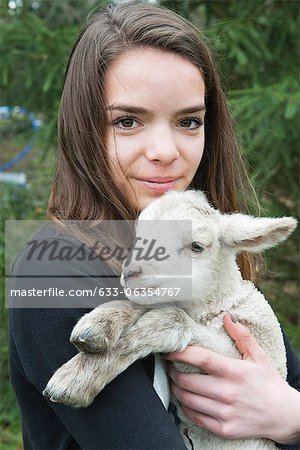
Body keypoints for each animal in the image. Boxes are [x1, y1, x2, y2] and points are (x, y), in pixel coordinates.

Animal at [43, 190, 296, 450]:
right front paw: (98, 324)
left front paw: (74, 380)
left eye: (197, 246)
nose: (130, 273)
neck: (215, 304)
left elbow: (171, 317)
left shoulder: (254, 354)